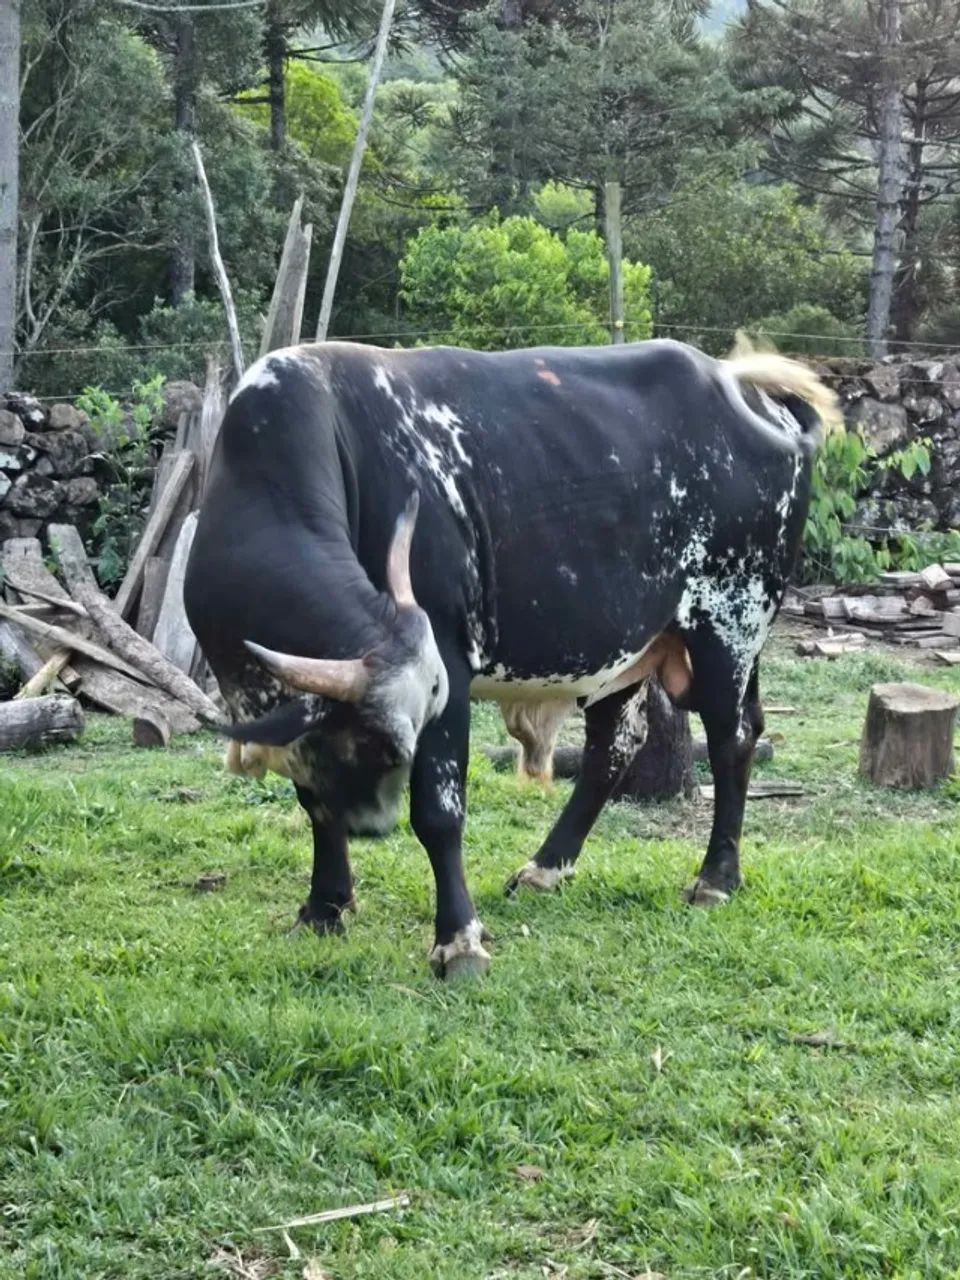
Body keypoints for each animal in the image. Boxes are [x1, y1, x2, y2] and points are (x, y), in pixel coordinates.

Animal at [184, 336, 839, 979]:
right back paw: (547, 867)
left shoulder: (448, 670)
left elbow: (438, 813)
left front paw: (458, 942)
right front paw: (324, 907)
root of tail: (747, 388)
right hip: (626, 649)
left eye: (396, 747)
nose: (374, 822)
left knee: (732, 740)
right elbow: (316, 803)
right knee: (615, 747)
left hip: (731, 625)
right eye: (371, 744)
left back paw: (715, 878)